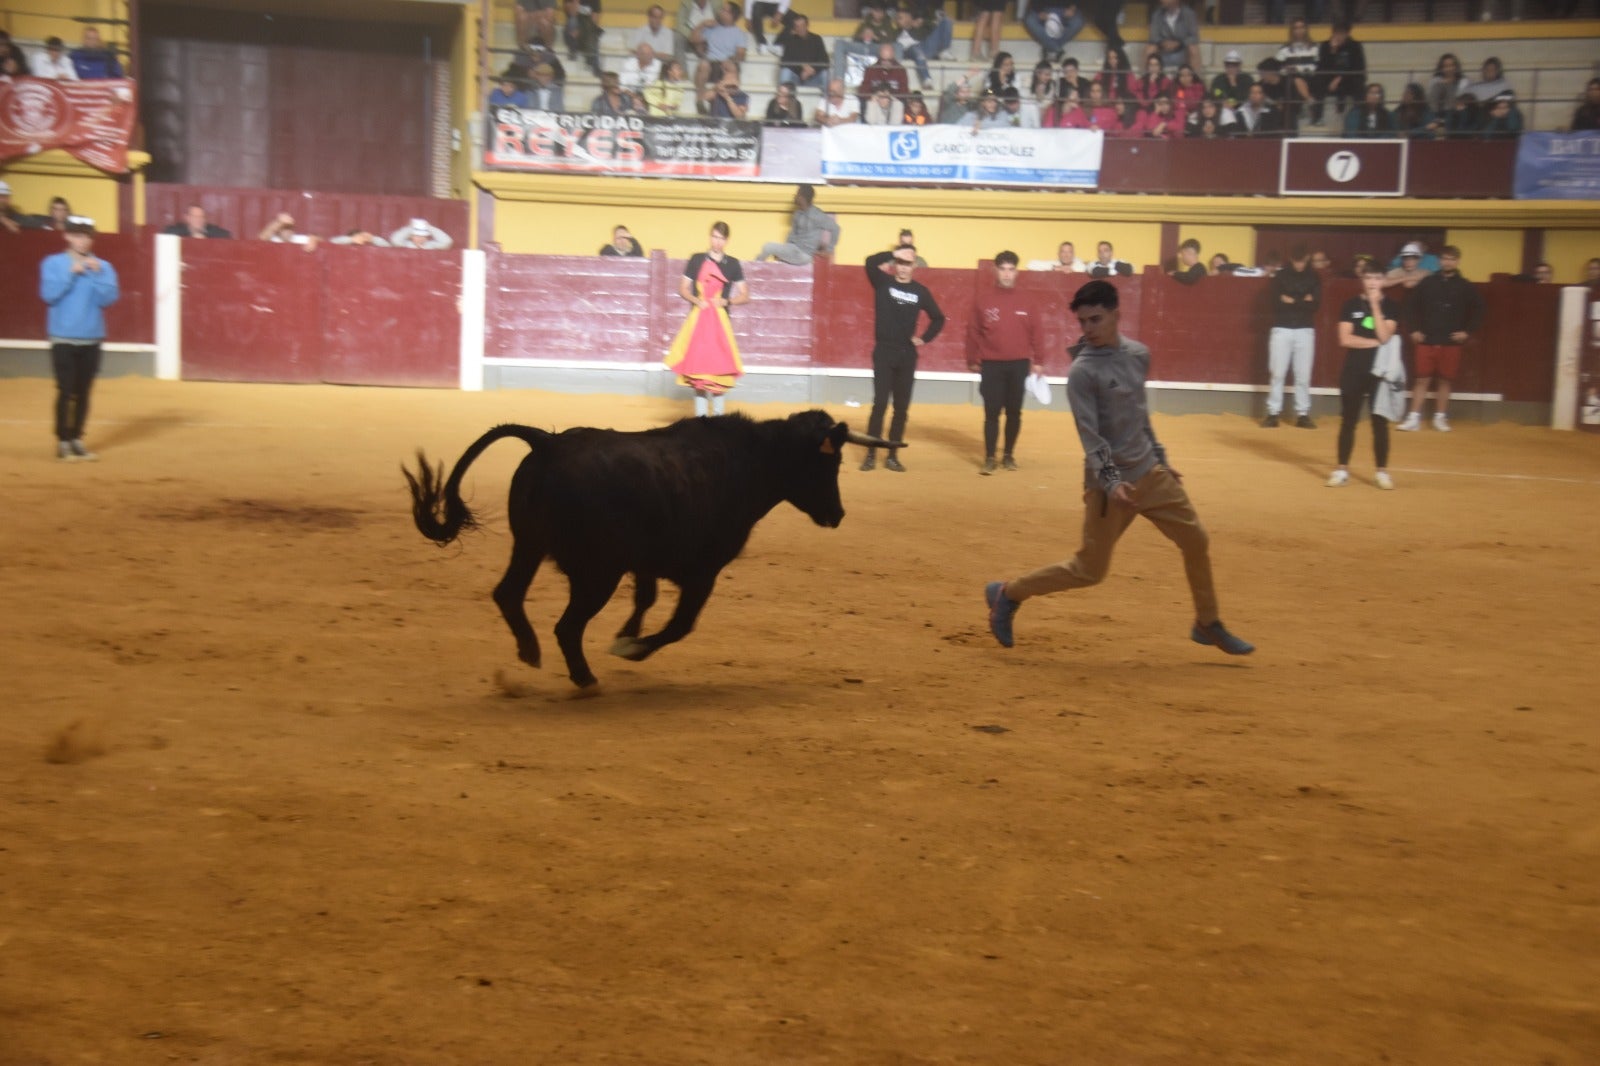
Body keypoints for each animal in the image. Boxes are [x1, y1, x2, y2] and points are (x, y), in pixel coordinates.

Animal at [400, 406, 902, 688]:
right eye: (829, 464)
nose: (837, 514)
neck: (750, 461)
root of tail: (548, 442)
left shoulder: (645, 560)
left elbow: (646, 598)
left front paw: (626, 634)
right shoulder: (704, 571)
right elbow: (680, 624)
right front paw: (631, 647)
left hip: (530, 545)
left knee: (508, 594)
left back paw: (530, 651)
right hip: (594, 573)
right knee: (567, 625)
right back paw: (584, 678)